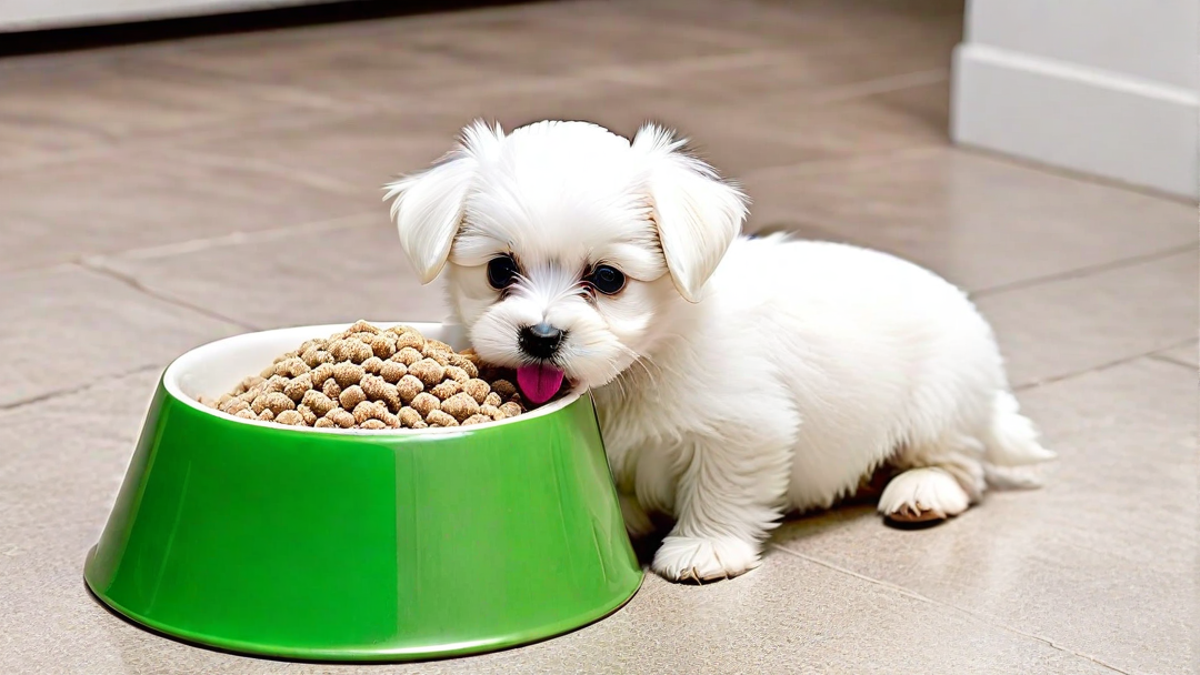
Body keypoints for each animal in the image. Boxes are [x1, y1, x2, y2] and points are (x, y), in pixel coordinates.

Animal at [384, 118, 1051, 581]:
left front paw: (703, 548)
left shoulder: (746, 427)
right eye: (499, 270)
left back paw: (921, 492)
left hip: (940, 405)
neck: (641, 364)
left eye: (607, 279)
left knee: (962, 466)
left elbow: (723, 487)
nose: (540, 337)